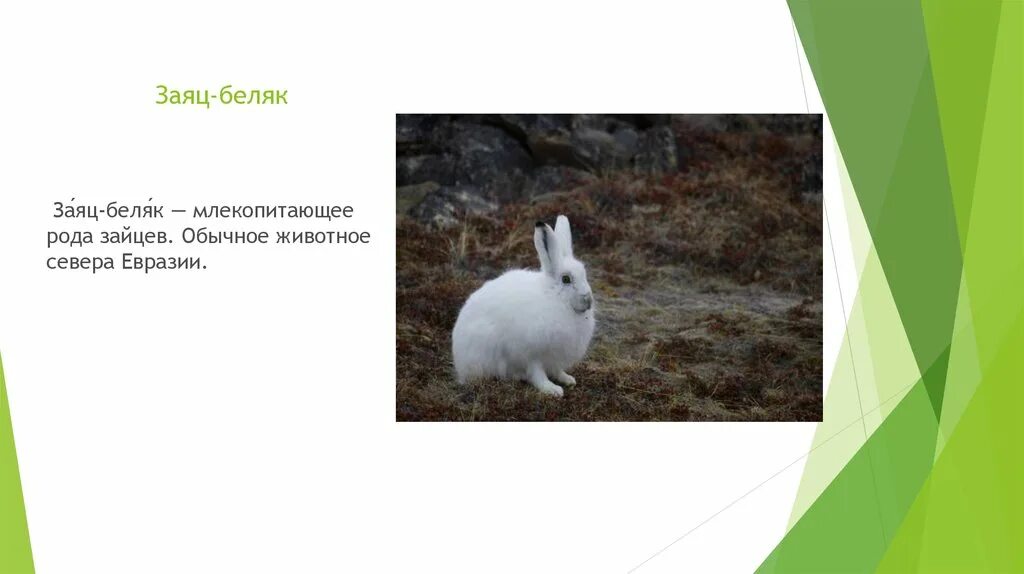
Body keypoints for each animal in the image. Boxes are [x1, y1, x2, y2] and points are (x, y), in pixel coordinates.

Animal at [452, 215, 596, 397]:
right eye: (566, 279)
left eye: (584, 274)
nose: (588, 300)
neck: (555, 298)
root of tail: (459, 364)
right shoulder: (531, 354)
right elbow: (537, 373)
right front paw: (551, 389)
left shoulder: (553, 357)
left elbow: (557, 370)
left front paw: (568, 379)